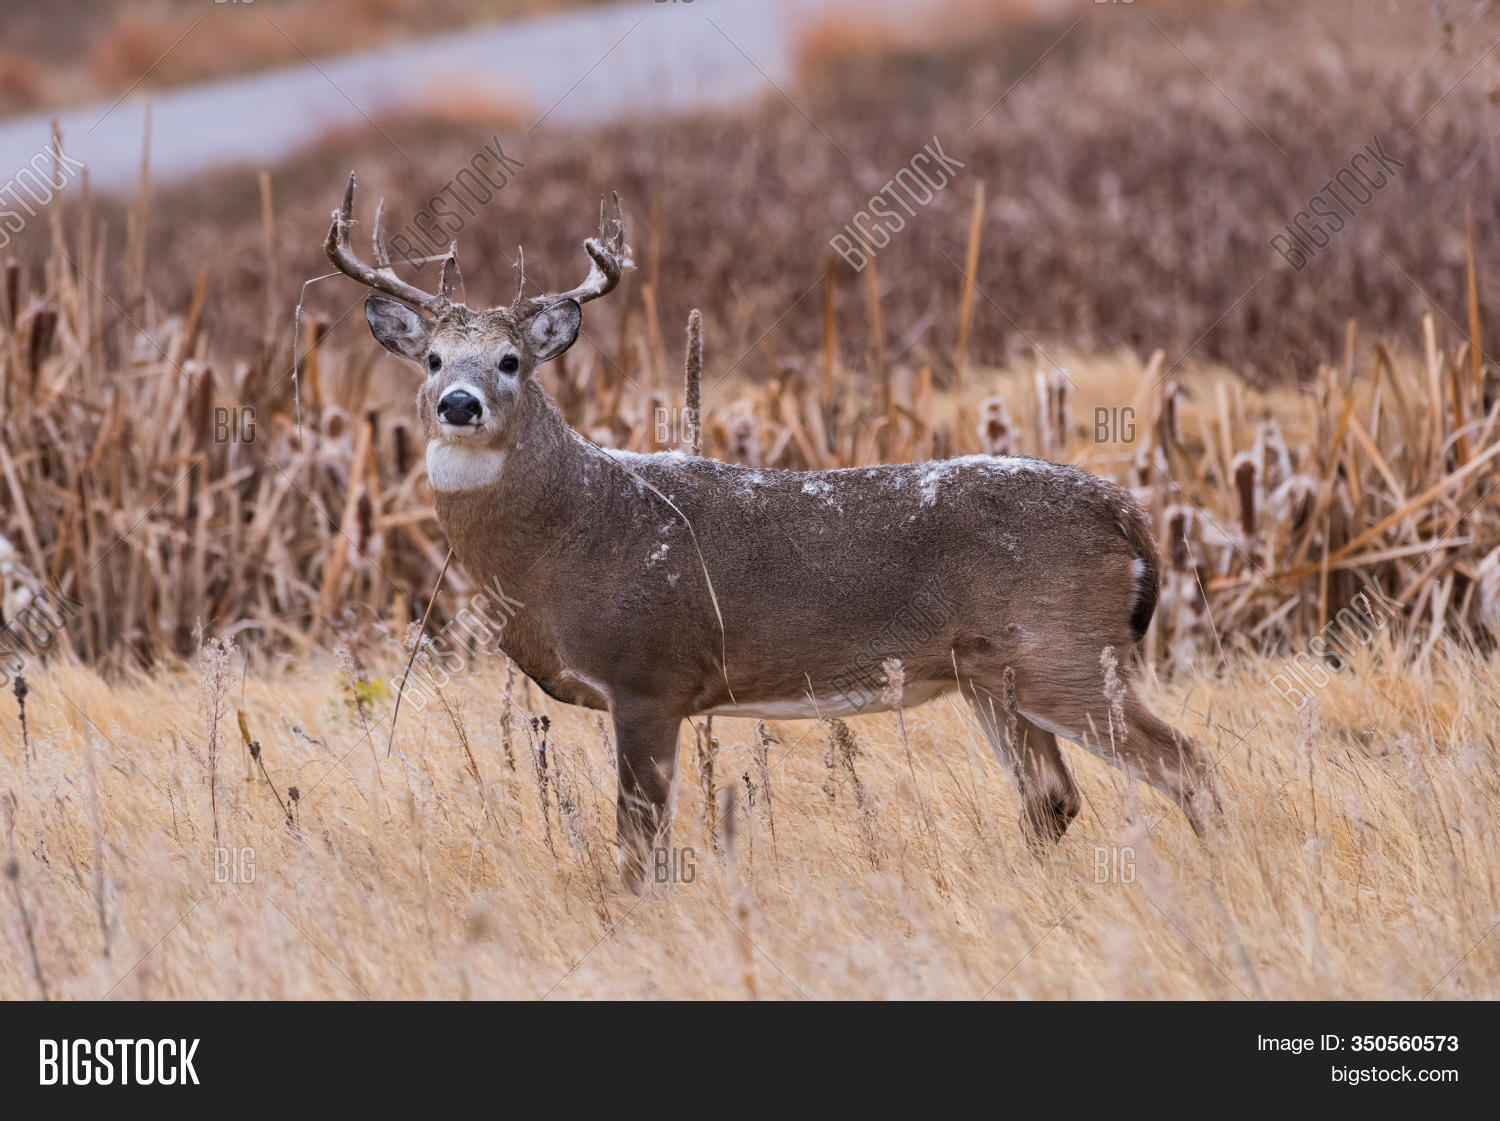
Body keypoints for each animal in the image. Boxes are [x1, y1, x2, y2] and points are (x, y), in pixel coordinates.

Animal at [324, 173, 1221, 890]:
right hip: (990, 672)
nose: (459, 404)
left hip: (1061, 646)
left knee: (1187, 763)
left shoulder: (649, 673)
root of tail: (1127, 513)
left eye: (511, 361)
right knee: (1053, 797)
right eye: (432, 359)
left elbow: (638, 843)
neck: (568, 536)